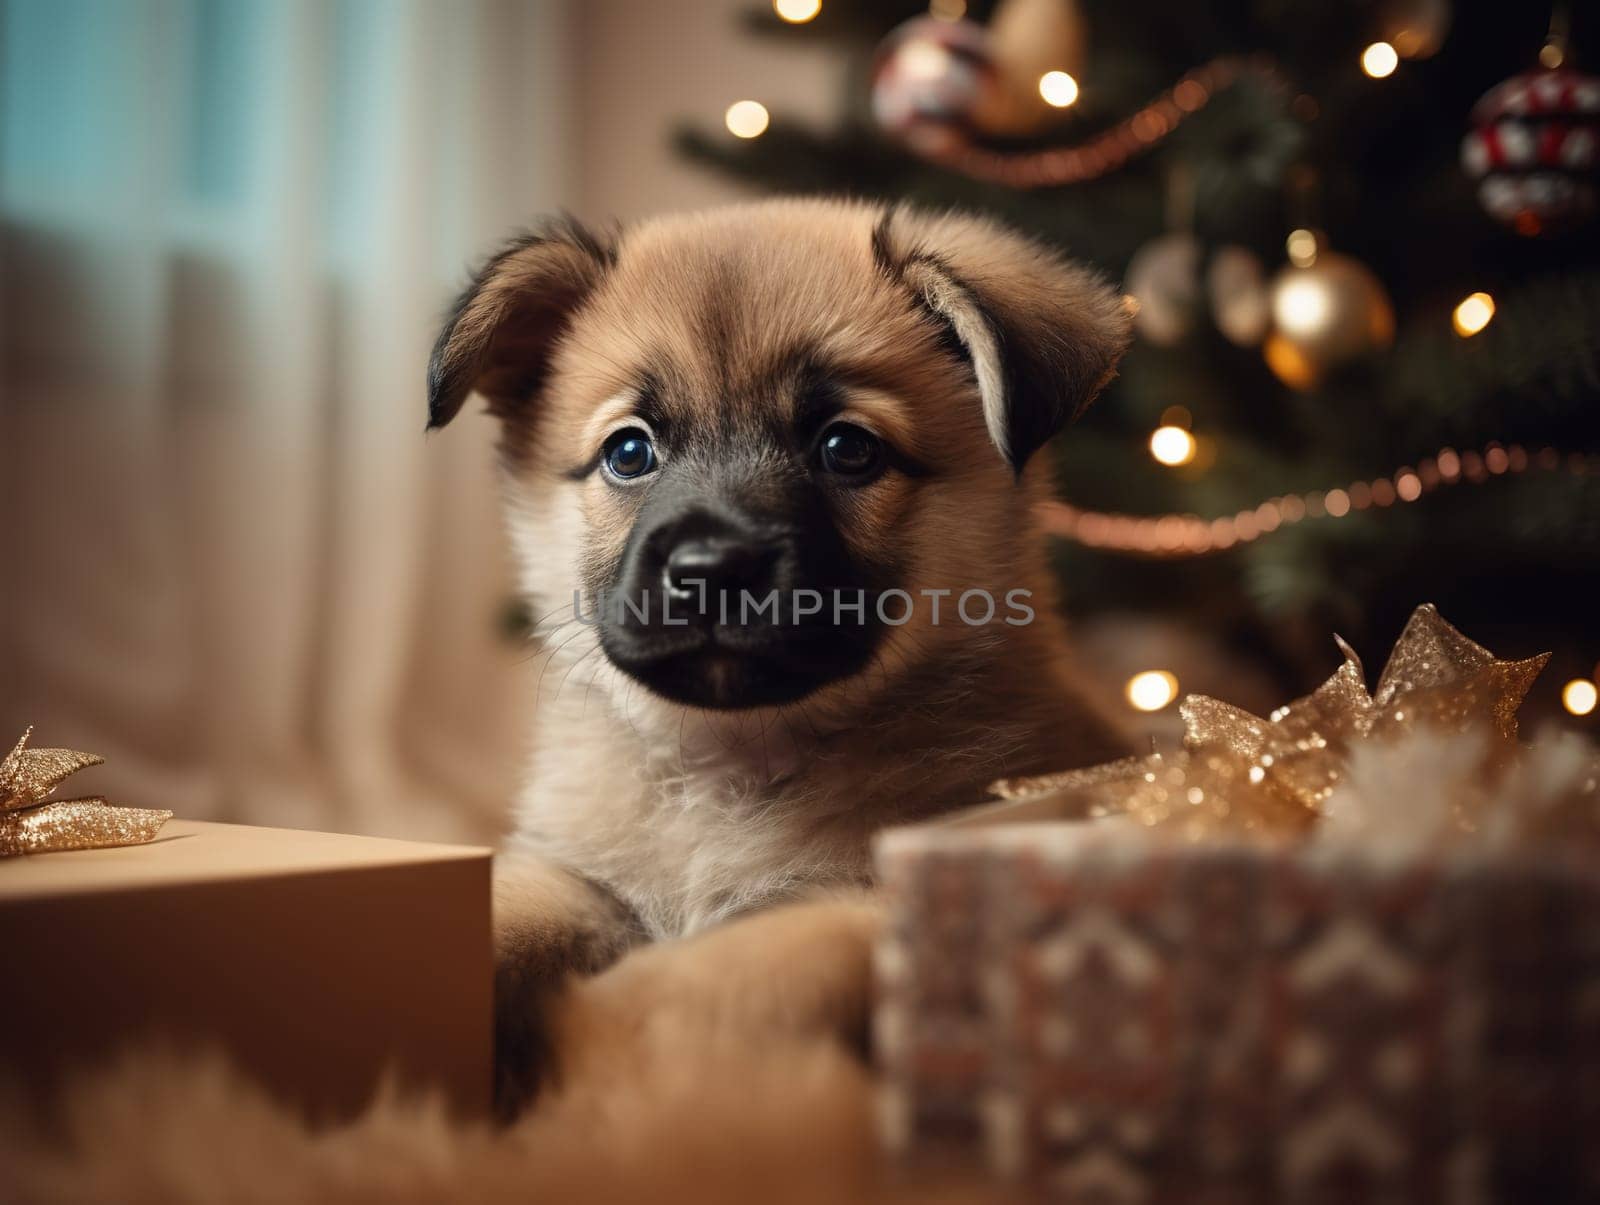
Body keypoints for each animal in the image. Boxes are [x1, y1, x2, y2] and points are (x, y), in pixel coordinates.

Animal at [428, 197, 1139, 1107]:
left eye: (847, 447)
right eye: (630, 451)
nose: (711, 568)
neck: (728, 776)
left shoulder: (864, 897)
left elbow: (701, 983)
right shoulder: (581, 881)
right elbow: (504, 910)